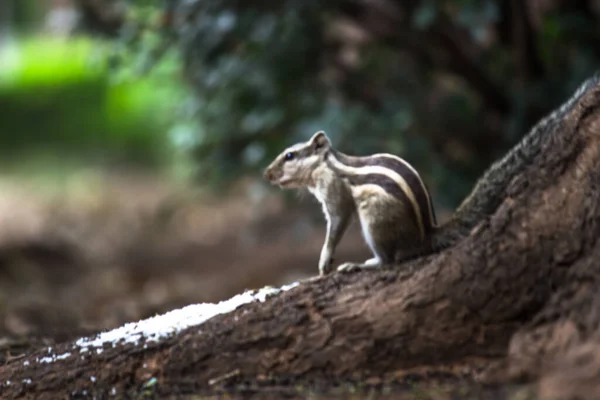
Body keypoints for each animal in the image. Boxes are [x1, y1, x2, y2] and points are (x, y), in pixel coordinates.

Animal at [264, 131, 438, 276]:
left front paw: (324, 260)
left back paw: (355, 265)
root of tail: (425, 237)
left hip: (376, 220)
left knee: (387, 260)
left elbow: (337, 221)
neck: (324, 164)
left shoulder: (333, 189)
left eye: (289, 155)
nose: (266, 174)